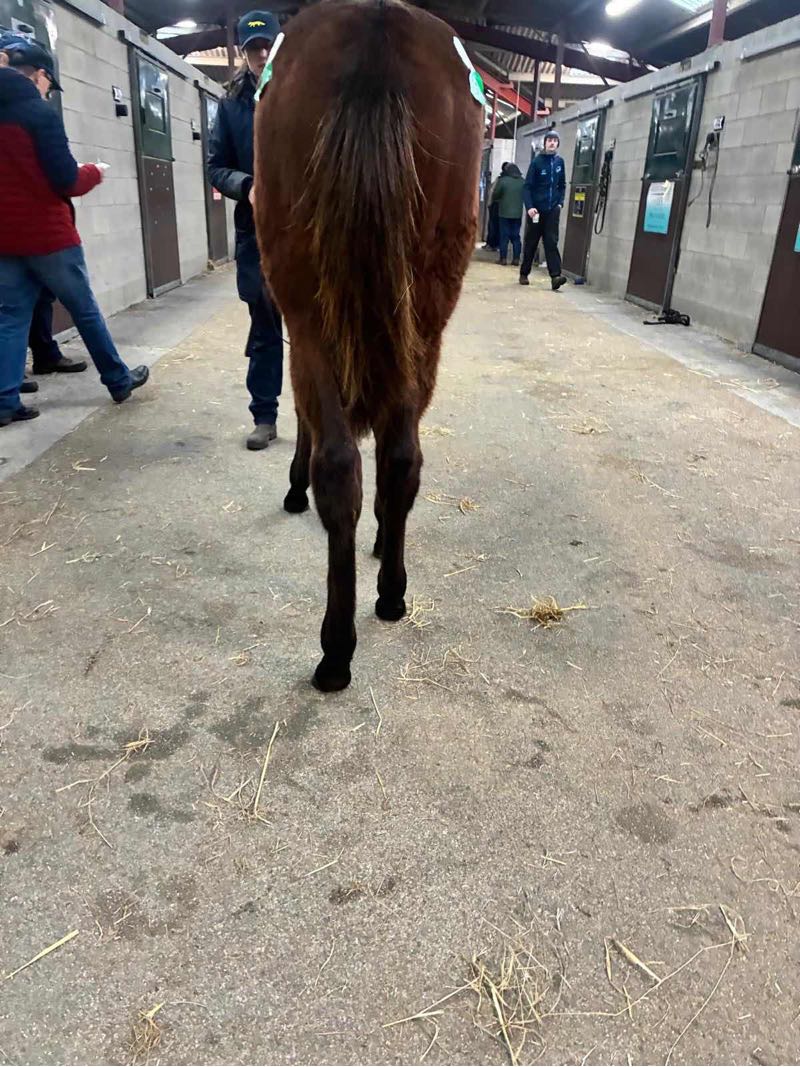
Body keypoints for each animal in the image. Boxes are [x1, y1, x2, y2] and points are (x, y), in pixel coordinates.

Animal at [253, 0, 483, 691]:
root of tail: (375, 22)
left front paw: (295, 486)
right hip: (424, 318)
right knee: (400, 456)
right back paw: (389, 591)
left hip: (311, 318)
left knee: (337, 464)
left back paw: (336, 649)